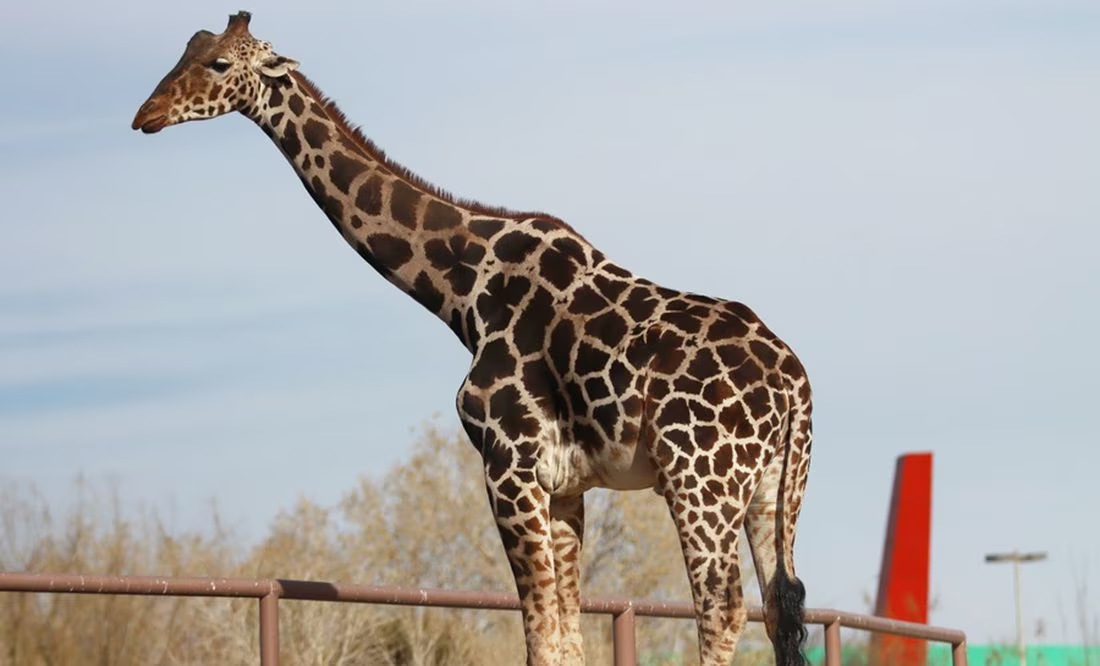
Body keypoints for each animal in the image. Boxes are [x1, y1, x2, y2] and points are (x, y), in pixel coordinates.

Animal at [132, 12, 813, 666]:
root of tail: (793, 385)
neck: (461, 292)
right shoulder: (564, 487)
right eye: (185, 51)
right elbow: (567, 636)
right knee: (781, 608)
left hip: (701, 480)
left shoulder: (507, 463)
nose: (146, 115)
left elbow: (540, 635)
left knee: (723, 607)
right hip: (772, 490)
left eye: (220, 63)